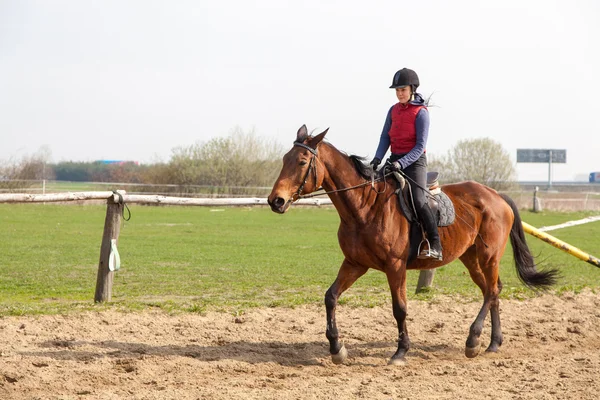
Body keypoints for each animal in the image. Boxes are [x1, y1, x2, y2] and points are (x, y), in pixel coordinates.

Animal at [268, 125, 556, 366]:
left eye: (302, 161)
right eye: (283, 160)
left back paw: (473, 341)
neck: (366, 207)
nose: (276, 201)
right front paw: (337, 348)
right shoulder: (355, 264)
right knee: (492, 290)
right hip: (471, 258)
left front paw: (401, 352)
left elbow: (400, 308)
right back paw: (493, 343)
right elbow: (330, 297)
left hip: (489, 256)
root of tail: (496, 195)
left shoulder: (395, 267)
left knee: (492, 291)